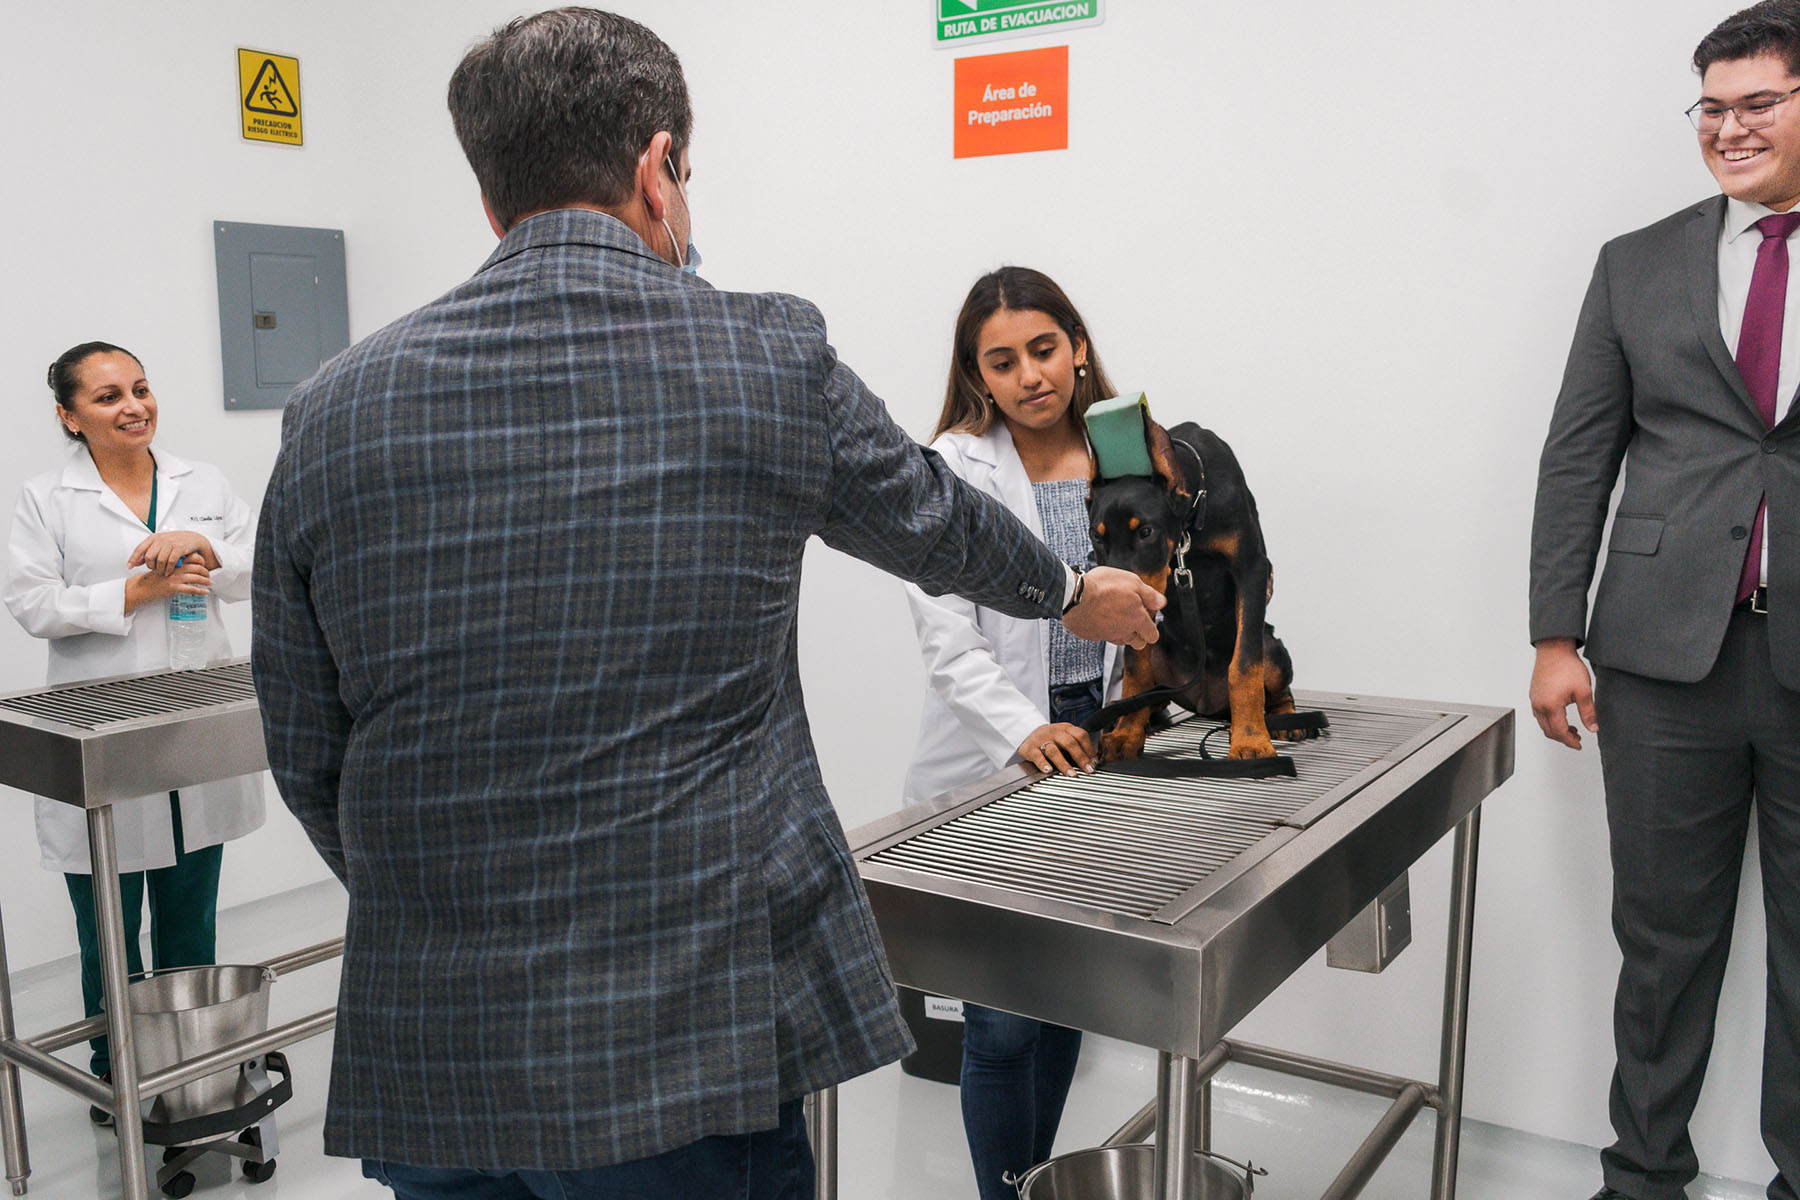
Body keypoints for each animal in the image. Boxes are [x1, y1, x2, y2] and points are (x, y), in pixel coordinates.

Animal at [1080, 417, 1296, 759]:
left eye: (1146, 531)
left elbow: (1245, 665)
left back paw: (1286, 718)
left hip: (1272, 647)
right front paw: (1127, 734)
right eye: (1097, 536)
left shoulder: (1251, 568)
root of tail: (1207, 705)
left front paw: (1250, 740)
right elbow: (1135, 667)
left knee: (1278, 685)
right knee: (1152, 690)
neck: (1193, 517)